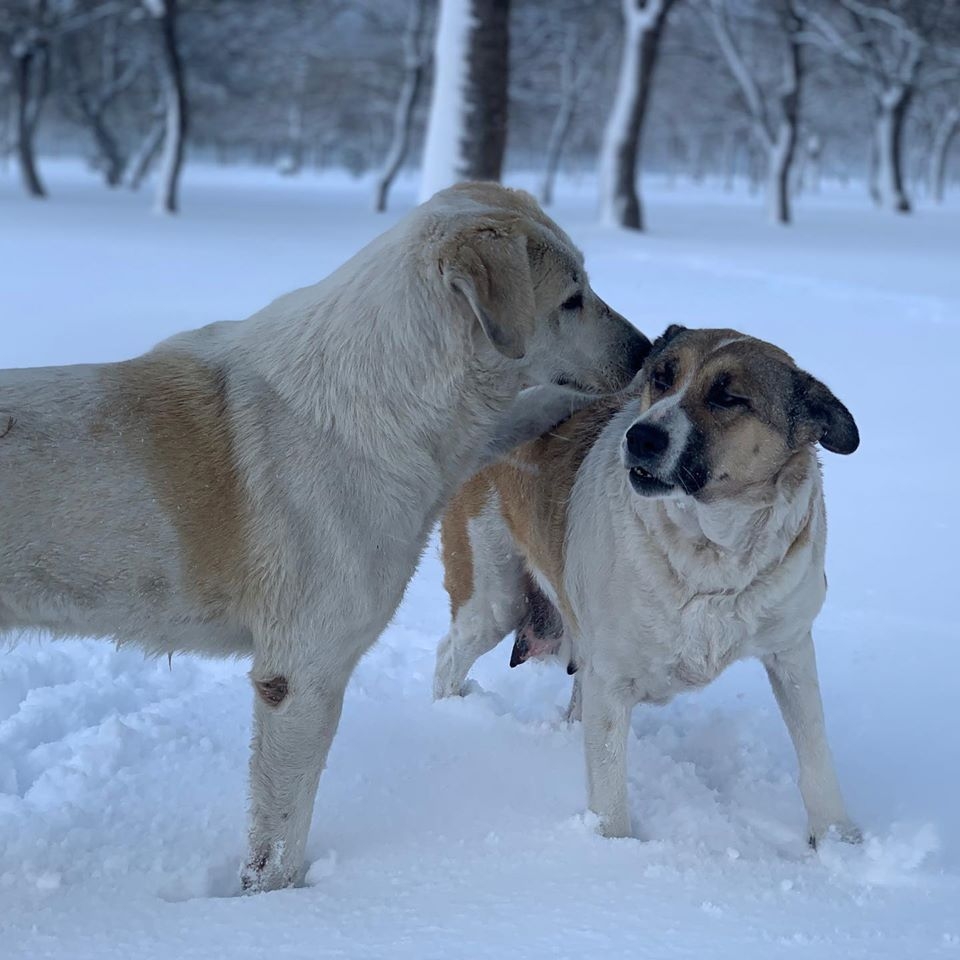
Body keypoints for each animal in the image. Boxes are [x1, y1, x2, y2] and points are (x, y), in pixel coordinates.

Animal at [0, 182, 652, 892]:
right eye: (571, 297)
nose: (648, 351)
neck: (389, 393)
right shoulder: (301, 675)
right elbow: (280, 838)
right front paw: (277, 903)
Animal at [436, 324, 864, 848]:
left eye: (728, 397)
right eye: (662, 376)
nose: (641, 436)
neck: (710, 550)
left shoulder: (791, 648)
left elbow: (814, 749)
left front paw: (836, 838)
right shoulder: (611, 680)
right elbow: (608, 789)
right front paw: (616, 853)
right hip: (493, 598)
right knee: (449, 657)